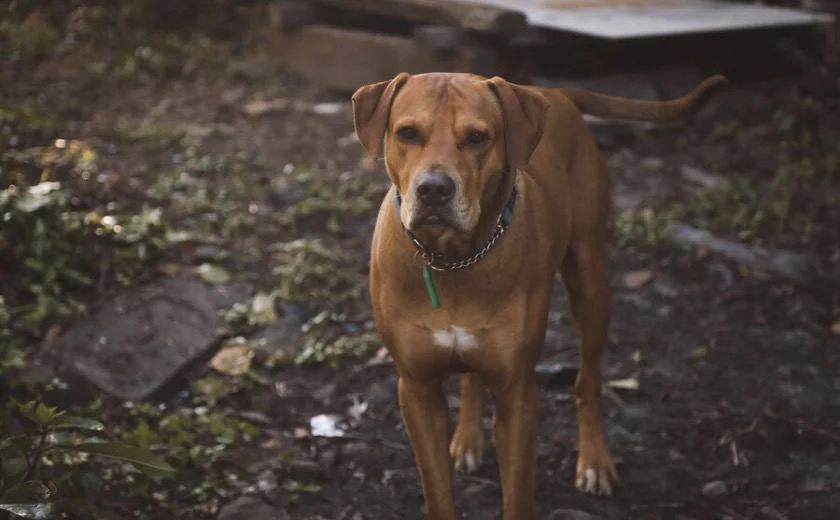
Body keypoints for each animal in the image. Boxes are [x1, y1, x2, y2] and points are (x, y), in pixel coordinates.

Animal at [352, 73, 724, 520]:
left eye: (478, 138)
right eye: (407, 133)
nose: (434, 190)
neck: (454, 257)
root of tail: (554, 92)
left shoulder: (518, 393)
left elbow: (517, 491)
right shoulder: (417, 388)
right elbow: (437, 490)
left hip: (590, 281)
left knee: (588, 380)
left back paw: (594, 461)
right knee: (473, 377)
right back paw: (468, 438)